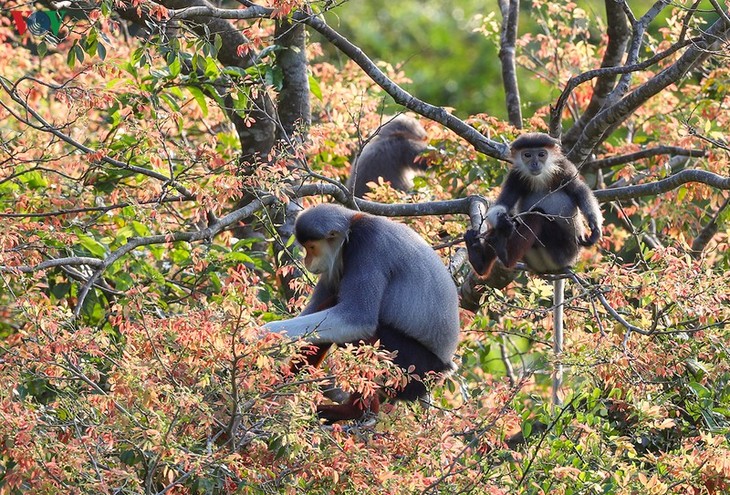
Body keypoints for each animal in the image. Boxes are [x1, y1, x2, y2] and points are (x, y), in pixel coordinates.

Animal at [262, 203, 458, 424]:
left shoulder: (367, 245)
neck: (352, 227)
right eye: (306, 248)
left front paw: (263, 333)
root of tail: (444, 368)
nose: (306, 260)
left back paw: (356, 411)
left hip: (412, 368)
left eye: (312, 248)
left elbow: (358, 319)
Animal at [464, 134, 600, 278]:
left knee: (537, 215)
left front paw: (595, 228)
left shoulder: (565, 168)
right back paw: (480, 261)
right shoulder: (515, 176)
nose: (535, 163)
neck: (540, 178)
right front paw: (503, 222)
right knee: (514, 222)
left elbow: (581, 192)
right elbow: (502, 204)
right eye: (527, 155)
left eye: (541, 154)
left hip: (562, 251)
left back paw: (504, 255)